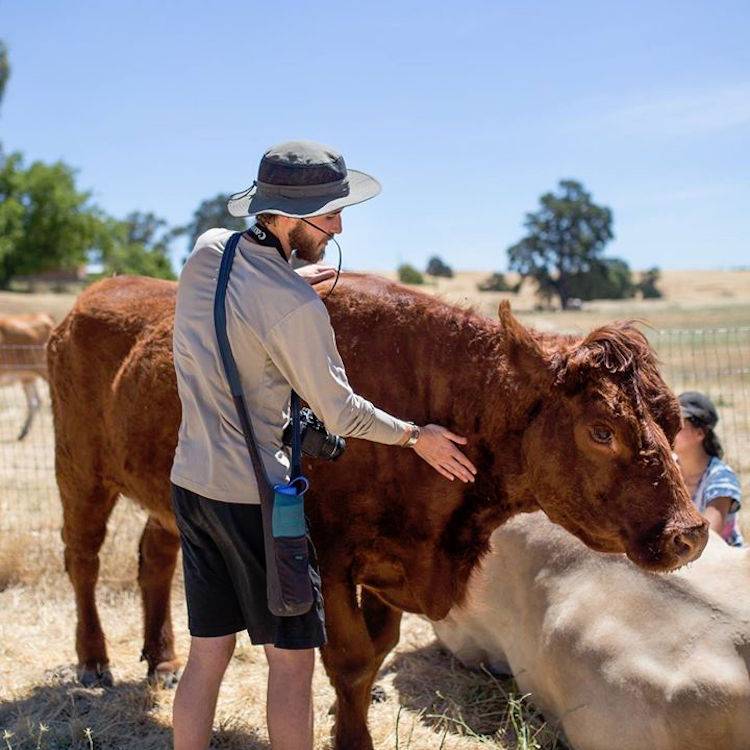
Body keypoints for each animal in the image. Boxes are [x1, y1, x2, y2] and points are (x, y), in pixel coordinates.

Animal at [46, 273, 708, 750]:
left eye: (672, 419)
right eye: (601, 430)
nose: (691, 534)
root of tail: (84, 305)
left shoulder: (390, 568)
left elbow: (376, 652)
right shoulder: (328, 563)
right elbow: (350, 660)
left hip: (165, 500)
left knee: (153, 556)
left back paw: (161, 663)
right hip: (79, 472)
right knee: (82, 559)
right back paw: (94, 662)